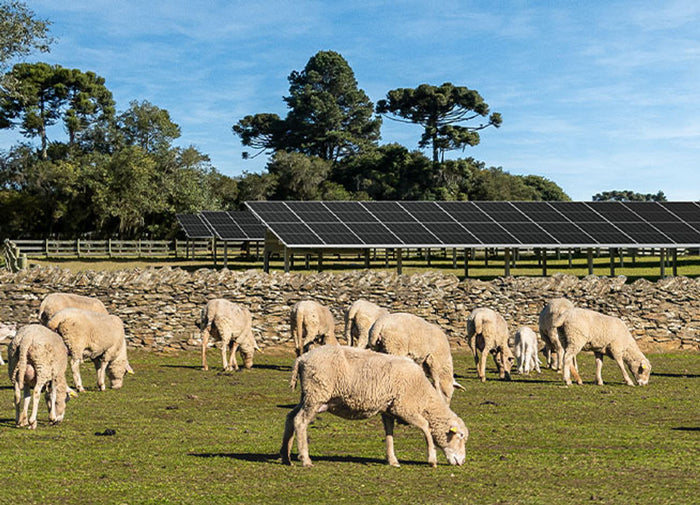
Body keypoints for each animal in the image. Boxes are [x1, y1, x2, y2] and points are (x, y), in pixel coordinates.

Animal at [280, 345, 468, 468]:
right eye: (459, 436)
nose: (462, 462)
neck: (423, 395)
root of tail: (302, 358)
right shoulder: (404, 407)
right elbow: (426, 427)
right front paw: (432, 458)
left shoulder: (389, 410)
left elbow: (389, 435)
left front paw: (392, 460)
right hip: (317, 394)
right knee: (300, 421)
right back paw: (305, 460)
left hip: (309, 396)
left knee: (290, 417)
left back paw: (285, 457)